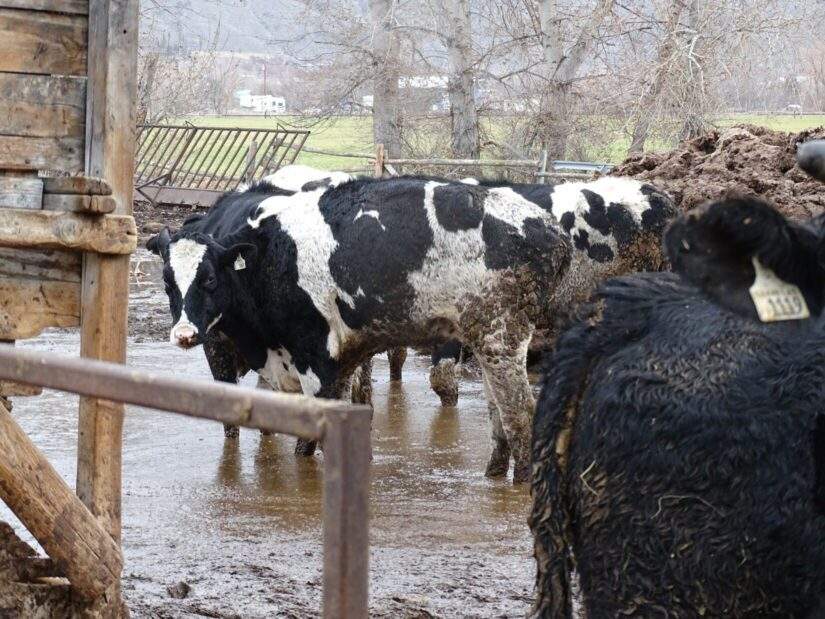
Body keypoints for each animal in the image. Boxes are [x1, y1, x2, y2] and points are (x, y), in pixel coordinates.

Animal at [148, 176, 571, 482]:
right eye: (168, 282)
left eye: (209, 280)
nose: (184, 334)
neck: (267, 255)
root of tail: (551, 230)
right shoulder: (340, 361)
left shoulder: (313, 360)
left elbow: (303, 441)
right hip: (489, 345)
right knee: (498, 413)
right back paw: (494, 474)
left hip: (501, 339)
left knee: (519, 416)